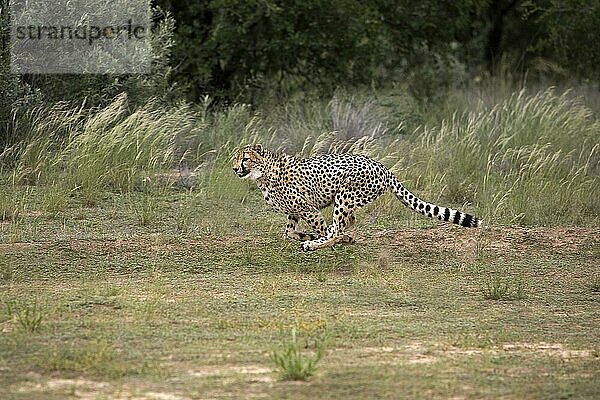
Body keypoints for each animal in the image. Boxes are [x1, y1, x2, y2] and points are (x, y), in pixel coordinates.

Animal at [232, 144, 480, 250]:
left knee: (339, 225)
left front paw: (323, 239)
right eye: (235, 158)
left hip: (345, 196)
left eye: (245, 158)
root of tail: (381, 166)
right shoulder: (294, 211)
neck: (263, 173)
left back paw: (315, 245)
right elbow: (289, 232)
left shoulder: (307, 208)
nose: (235, 169)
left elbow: (326, 229)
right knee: (348, 220)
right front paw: (307, 235)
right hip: (348, 199)